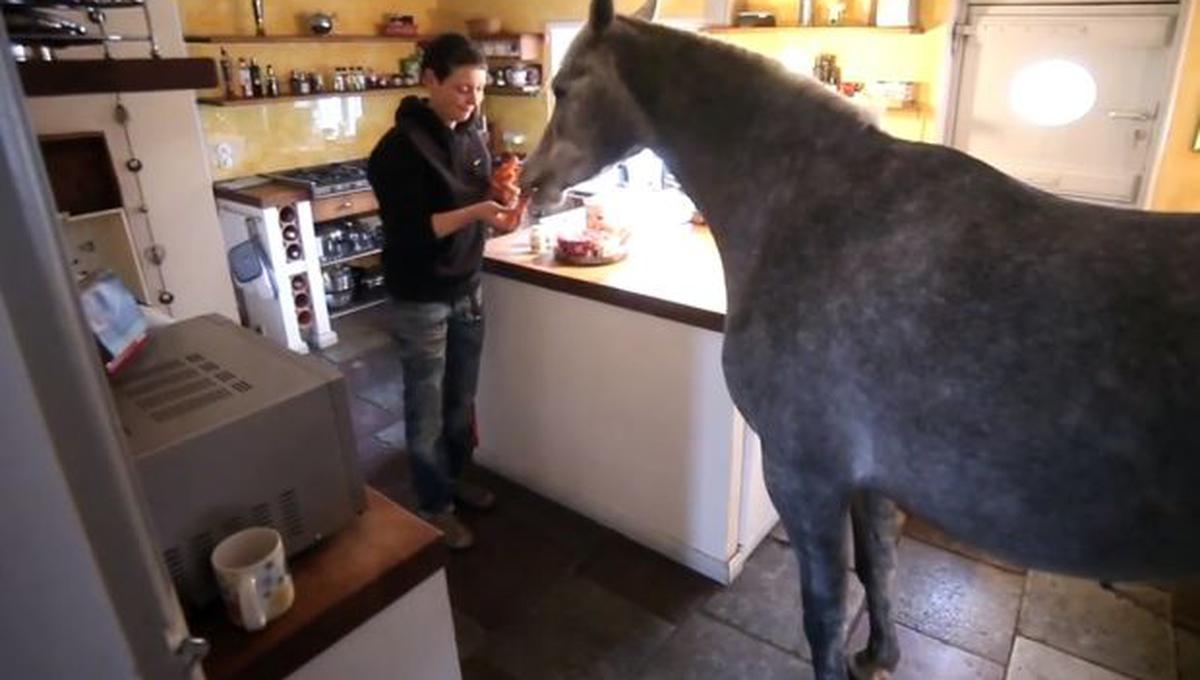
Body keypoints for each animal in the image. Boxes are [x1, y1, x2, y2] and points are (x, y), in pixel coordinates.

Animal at [520, 2, 1200, 676]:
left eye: (564, 86)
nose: (528, 181)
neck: (812, 204)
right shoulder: (872, 482)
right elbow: (878, 568)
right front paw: (880, 653)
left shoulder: (804, 475)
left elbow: (822, 615)